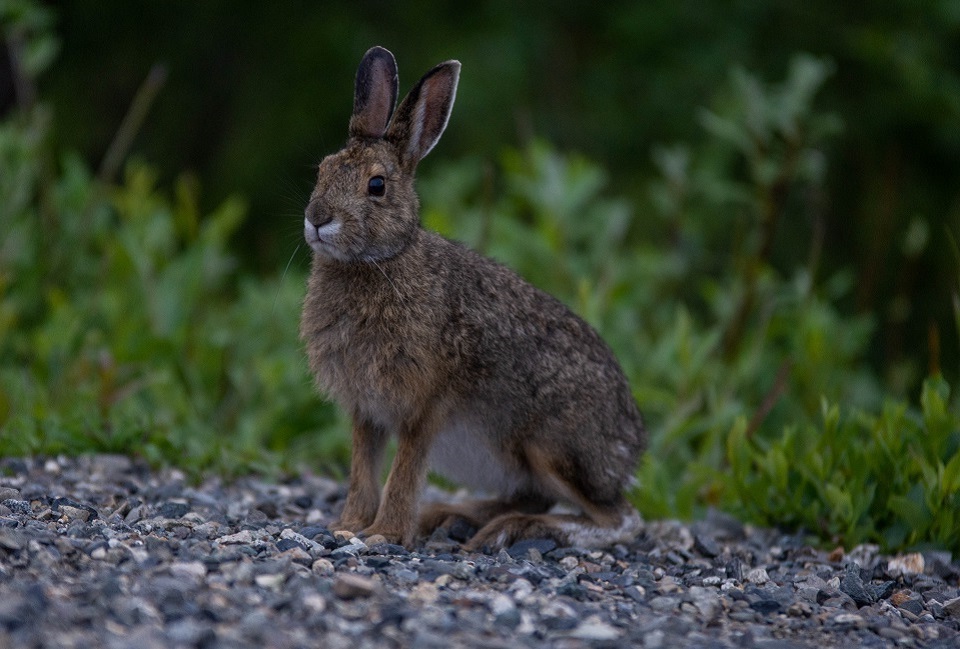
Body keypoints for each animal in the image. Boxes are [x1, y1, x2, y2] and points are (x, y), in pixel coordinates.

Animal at [300, 46, 646, 551]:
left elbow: (403, 471)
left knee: (620, 518)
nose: (317, 218)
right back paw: (454, 517)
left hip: (552, 448)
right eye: (322, 170)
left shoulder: (425, 405)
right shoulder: (366, 410)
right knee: (536, 496)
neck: (380, 261)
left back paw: (515, 530)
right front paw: (347, 526)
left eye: (376, 186)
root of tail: (632, 446)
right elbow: (363, 469)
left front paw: (384, 534)